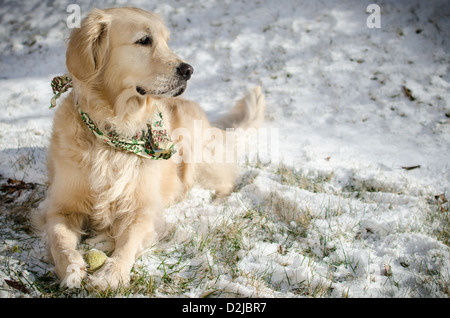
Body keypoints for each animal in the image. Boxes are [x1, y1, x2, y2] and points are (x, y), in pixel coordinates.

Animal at [36, 6, 268, 290]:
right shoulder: (60, 207)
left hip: (199, 158)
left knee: (225, 181)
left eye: (167, 41)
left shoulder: (142, 209)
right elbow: (59, 238)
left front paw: (112, 273)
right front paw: (71, 267)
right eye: (144, 40)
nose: (189, 70)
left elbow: (129, 241)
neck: (114, 131)